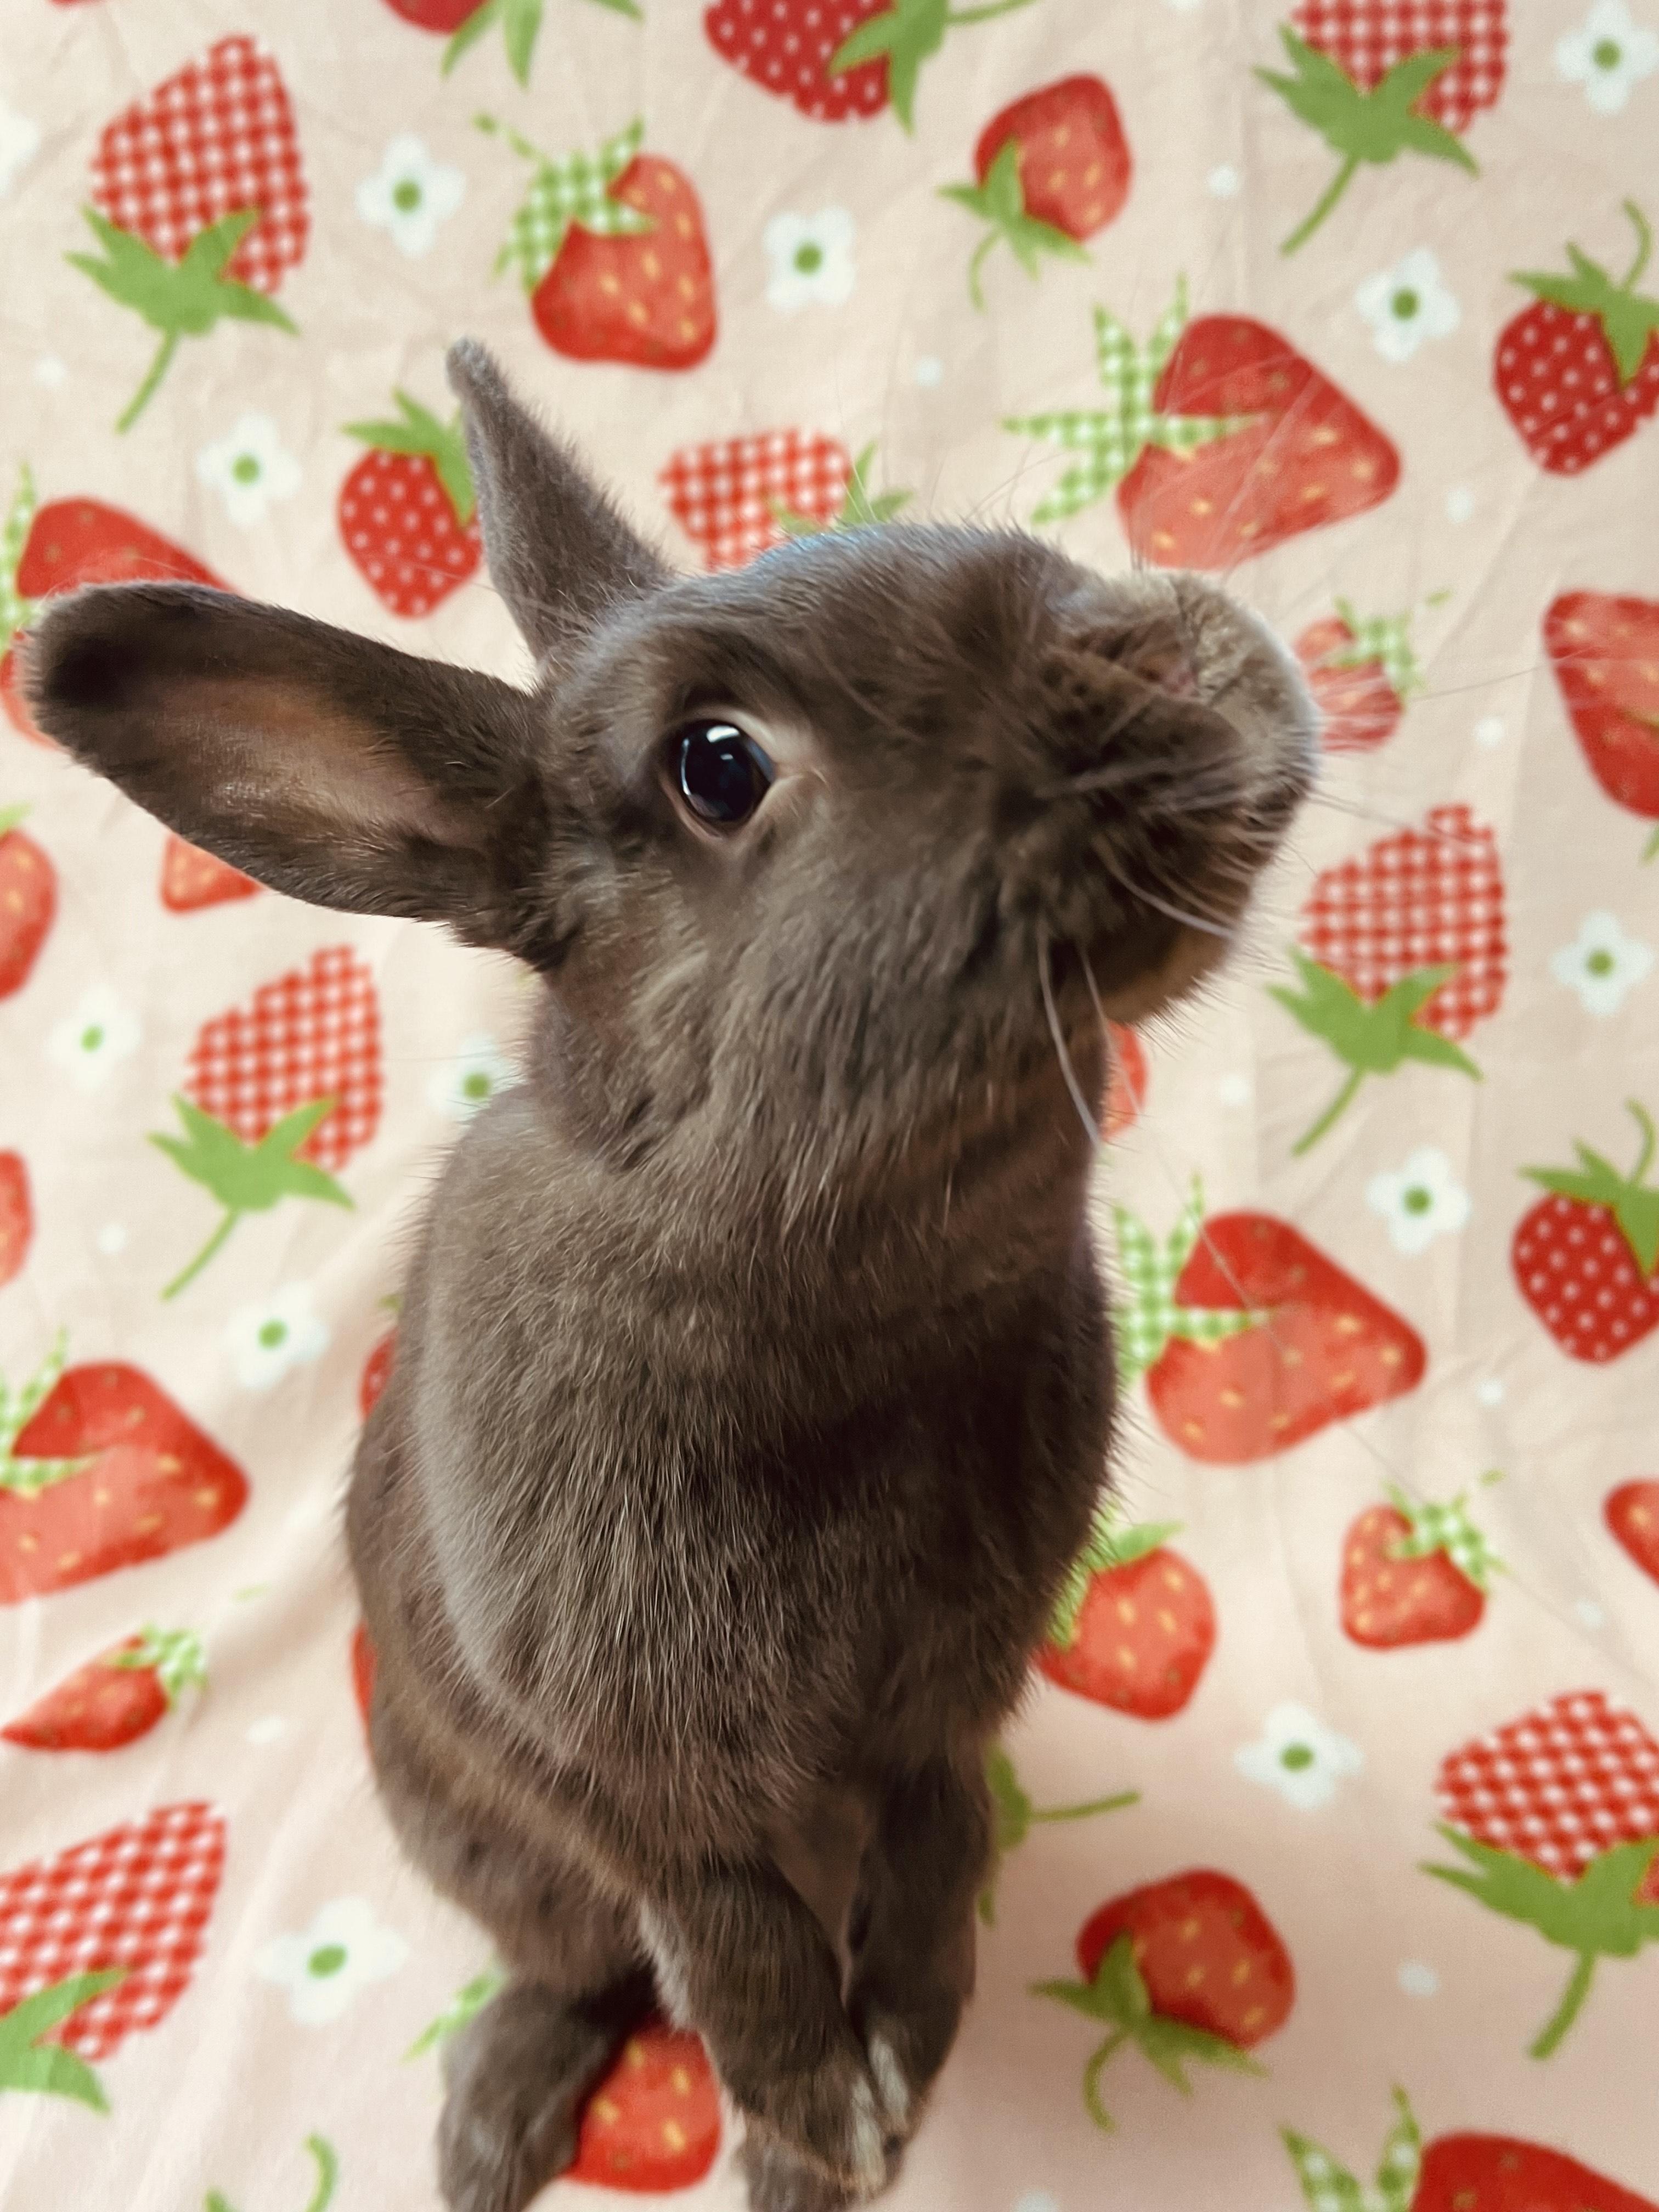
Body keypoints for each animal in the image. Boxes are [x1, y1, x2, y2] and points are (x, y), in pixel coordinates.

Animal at [25, 339, 1316, 2212]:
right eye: (716, 765)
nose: (1154, 648)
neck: (849, 1276)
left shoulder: (946, 1718)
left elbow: (934, 1865)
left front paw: (897, 2065)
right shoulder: (626, 1779)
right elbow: (746, 1953)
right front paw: (821, 2118)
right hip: (484, 1843)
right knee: (578, 1970)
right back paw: (499, 2136)